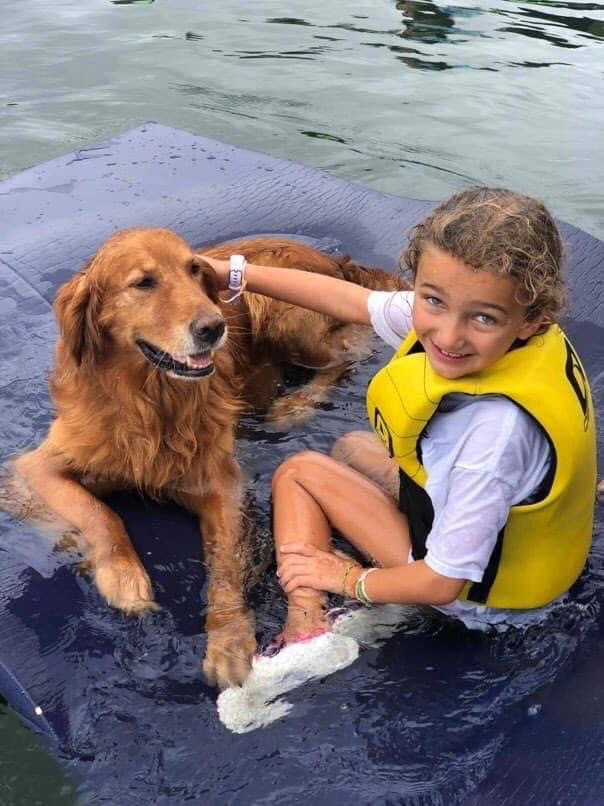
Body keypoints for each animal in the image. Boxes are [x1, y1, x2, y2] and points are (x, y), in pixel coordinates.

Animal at [2, 227, 406, 688]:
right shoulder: (34, 469)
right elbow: (99, 514)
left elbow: (226, 570)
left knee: (345, 359)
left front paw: (229, 642)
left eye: (194, 270)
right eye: (143, 282)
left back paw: (294, 405)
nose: (213, 326)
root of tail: (334, 260)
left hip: (282, 310)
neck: (151, 401)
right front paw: (122, 577)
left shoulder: (222, 487)